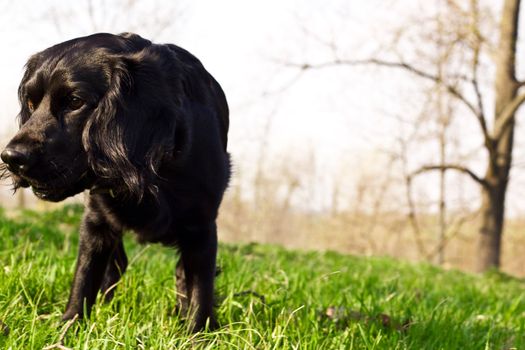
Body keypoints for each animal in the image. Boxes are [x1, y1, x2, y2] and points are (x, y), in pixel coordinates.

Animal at [0, 32, 229, 330]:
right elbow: (84, 279)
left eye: (75, 102)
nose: (11, 157)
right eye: (30, 103)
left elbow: (201, 292)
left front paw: (197, 333)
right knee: (116, 264)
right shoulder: (96, 222)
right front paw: (68, 328)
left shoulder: (202, 228)